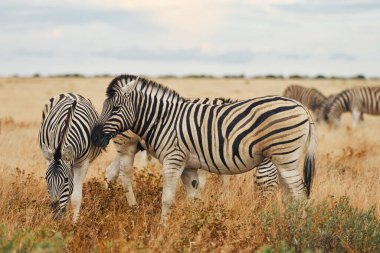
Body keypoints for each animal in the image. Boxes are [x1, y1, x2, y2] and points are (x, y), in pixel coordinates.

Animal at [38, 92, 101, 221]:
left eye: (66, 180)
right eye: (46, 179)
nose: (55, 213)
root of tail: (72, 93)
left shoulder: (82, 163)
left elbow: (76, 197)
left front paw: (74, 223)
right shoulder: (51, 153)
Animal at [103, 97, 280, 208]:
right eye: (275, 180)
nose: (263, 206)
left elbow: (225, 180)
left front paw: (224, 202)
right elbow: (201, 184)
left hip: (131, 147)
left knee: (110, 172)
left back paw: (106, 201)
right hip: (127, 144)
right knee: (124, 175)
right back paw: (133, 206)